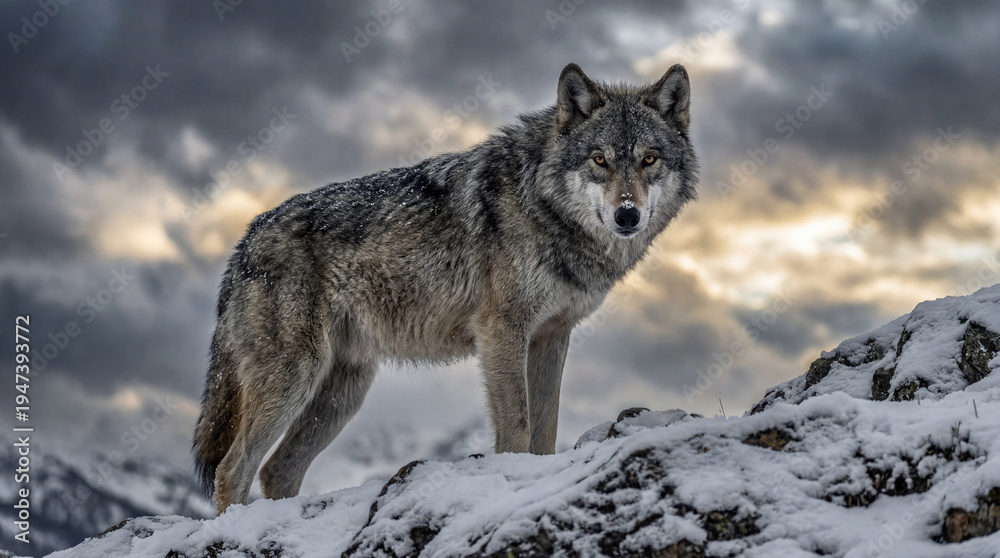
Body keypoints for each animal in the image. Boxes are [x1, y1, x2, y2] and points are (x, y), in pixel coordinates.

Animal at [193, 63, 698, 513]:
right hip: (295, 378)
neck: (543, 205)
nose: (627, 216)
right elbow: (518, 428)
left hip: (343, 391)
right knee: (233, 469)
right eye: (599, 160)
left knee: (277, 469)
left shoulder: (552, 336)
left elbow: (546, 429)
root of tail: (245, 242)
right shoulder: (502, 331)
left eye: (649, 159)